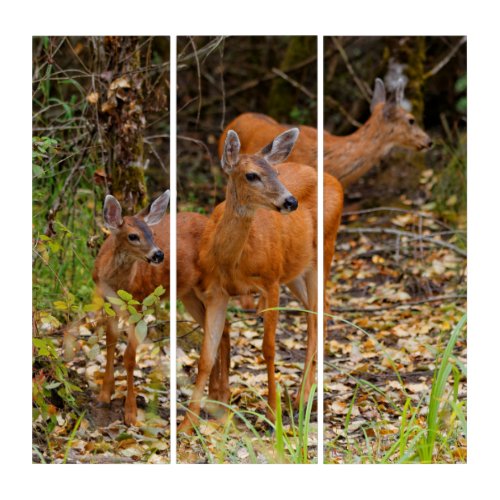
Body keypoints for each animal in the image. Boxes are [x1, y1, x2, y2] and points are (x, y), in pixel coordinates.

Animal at [177, 129, 344, 434]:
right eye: (251, 175)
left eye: (276, 172)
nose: (290, 202)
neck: (233, 262)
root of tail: (335, 180)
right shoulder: (216, 291)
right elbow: (206, 355)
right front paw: (187, 423)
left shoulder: (271, 280)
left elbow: (268, 349)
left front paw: (271, 411)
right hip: (297, 269)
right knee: (319, 309)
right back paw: (306, 393)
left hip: (324, 248)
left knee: (318, 313)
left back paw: (303, 398)